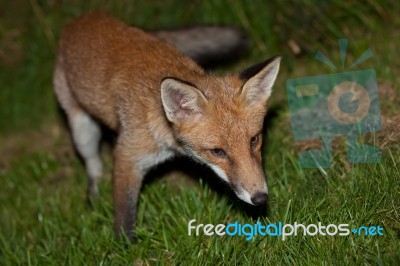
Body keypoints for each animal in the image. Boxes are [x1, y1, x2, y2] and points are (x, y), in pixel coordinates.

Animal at [53, 12, 280, 242]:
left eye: (254, 140)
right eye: (218, 152)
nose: (260, 198)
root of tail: (83, 18)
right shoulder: (127, 157)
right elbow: (125, 214)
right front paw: (125, 246)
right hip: (82, 130)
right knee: (93, 165)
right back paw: (94, 195)